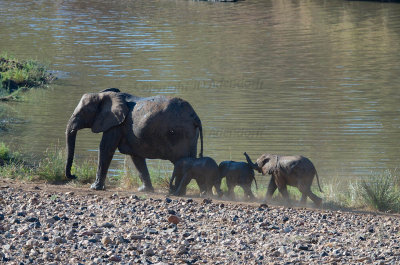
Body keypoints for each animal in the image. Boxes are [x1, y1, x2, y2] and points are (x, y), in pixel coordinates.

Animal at [66, 87, 203, 191]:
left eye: (82, 113)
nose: (74, 176)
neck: (103, 95)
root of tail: (195, 116)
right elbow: (136, 157)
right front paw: (144, 190)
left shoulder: (116, 125)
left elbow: (105, 148)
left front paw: (94, 188)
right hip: (191, 135)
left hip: (181, 134)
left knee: (182, 162)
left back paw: (178, 192)